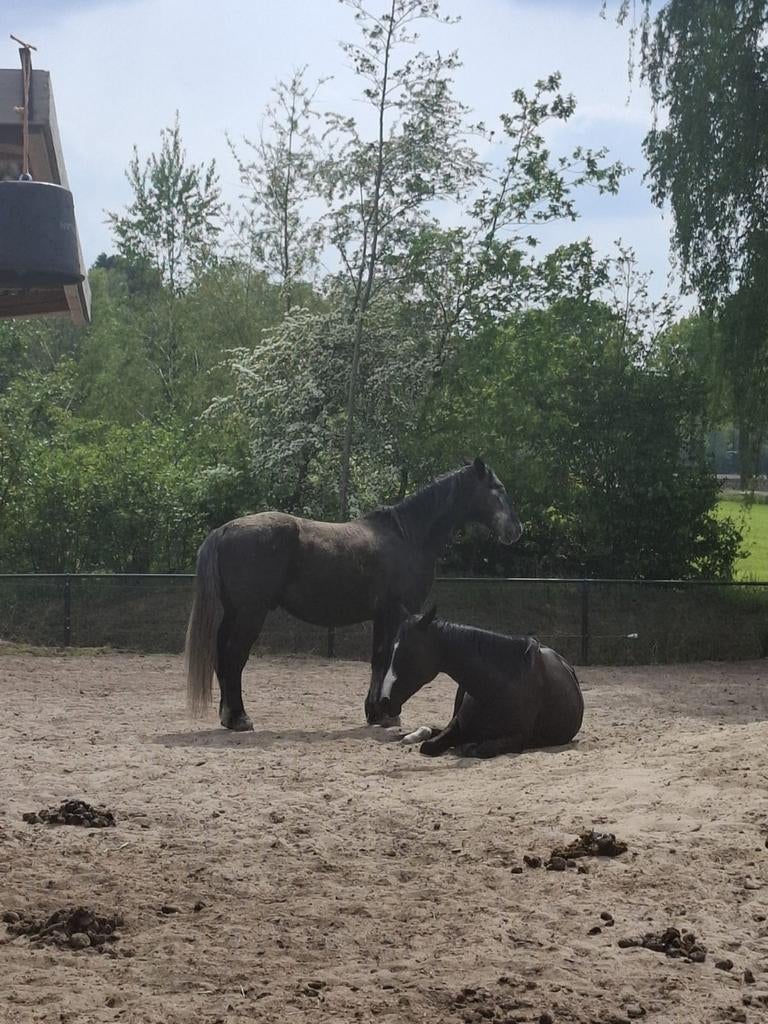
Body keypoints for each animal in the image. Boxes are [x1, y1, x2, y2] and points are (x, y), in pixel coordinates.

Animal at [184, 458, 522, 731]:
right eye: (498, 488)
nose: (516, 530)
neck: (409, 536)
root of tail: (224, 530)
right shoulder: (397, 610)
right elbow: (385, 657)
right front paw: (386, 715)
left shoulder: (382, 615)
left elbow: (378, 658)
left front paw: (376, 713)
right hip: (250, 614)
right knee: (234, 657)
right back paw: (239, 718)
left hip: (234, 613)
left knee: (221, 655)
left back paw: (228, 716)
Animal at [377, 607, 584, 758]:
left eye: (406, 654)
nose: (384, 701)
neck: (494, 688)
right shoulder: (457, 725)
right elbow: (429, 745)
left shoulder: (518, 738)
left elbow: (478, 749)